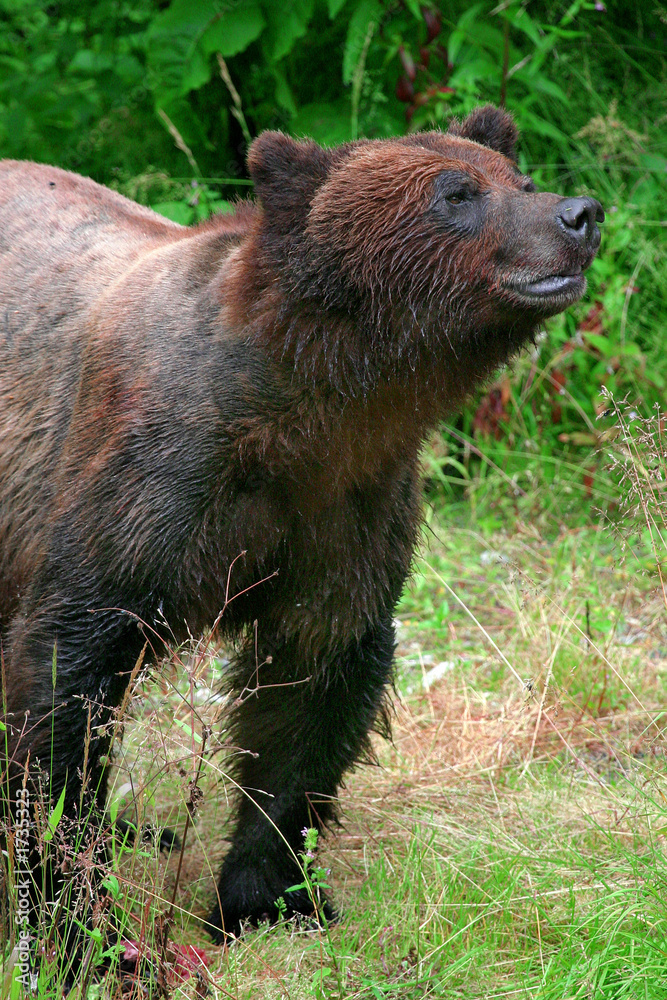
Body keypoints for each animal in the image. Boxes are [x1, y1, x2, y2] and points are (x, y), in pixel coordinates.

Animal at [0, 106, 603, 945]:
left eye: (520, 178)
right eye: (455, 193)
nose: (578, 214)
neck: (306, 411)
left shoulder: (346, 505)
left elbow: (312, 687)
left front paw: (268, 897)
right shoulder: (151, 484)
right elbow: (68, 674)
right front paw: (83, 923)